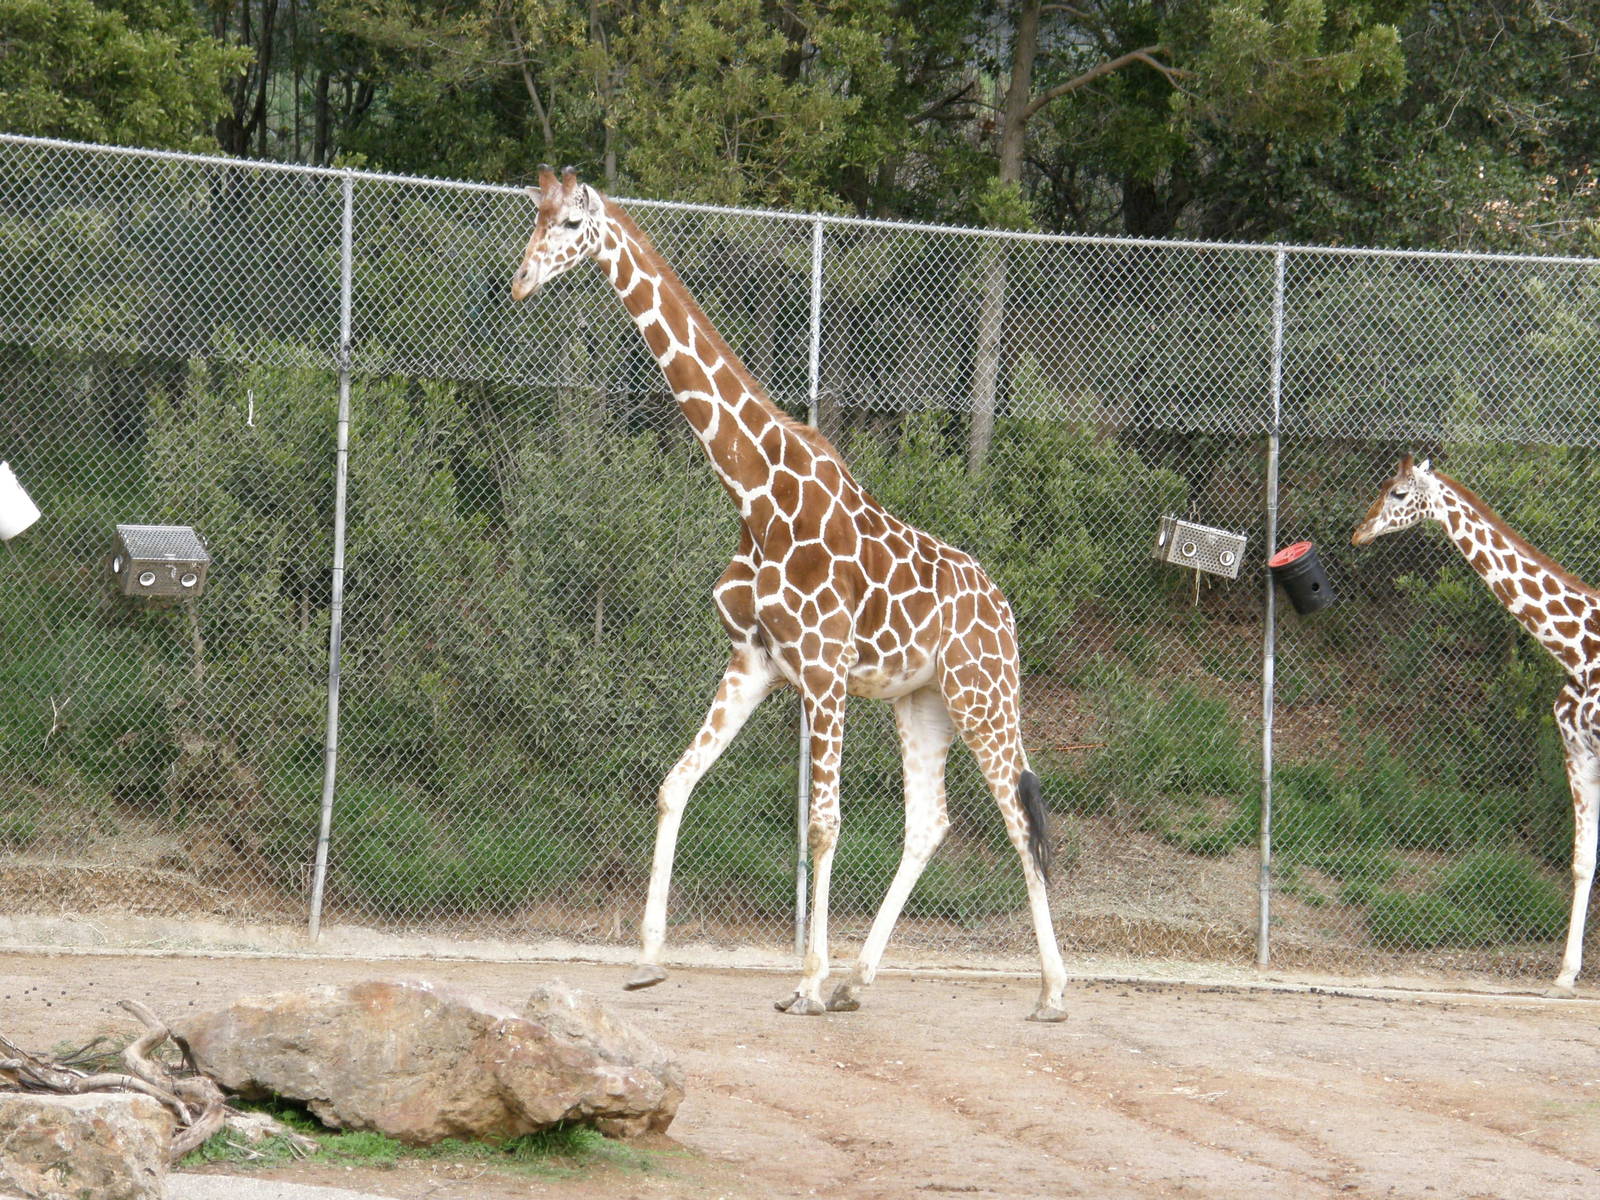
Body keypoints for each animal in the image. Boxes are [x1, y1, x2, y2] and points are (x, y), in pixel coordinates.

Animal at [511, 166, 1069, 1021]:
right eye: (531, 218)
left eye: (572, 223)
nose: (520, 281)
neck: (754, 491)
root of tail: (1004, 612)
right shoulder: (755, 661)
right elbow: (675, 784)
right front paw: (648, 960)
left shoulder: (823, 669)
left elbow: (824, 824)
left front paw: (802, 981)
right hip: (923, 699)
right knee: (930, 823)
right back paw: (855, 981)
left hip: (983, 694)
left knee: (1018, 818)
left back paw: (1050, 991)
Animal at [1353, 454, 1599, 994]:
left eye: (1399, 493)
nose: (1359, 532)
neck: (1578, 651)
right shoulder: (1579, 750)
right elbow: (1582, 861)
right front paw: (1565, 973)